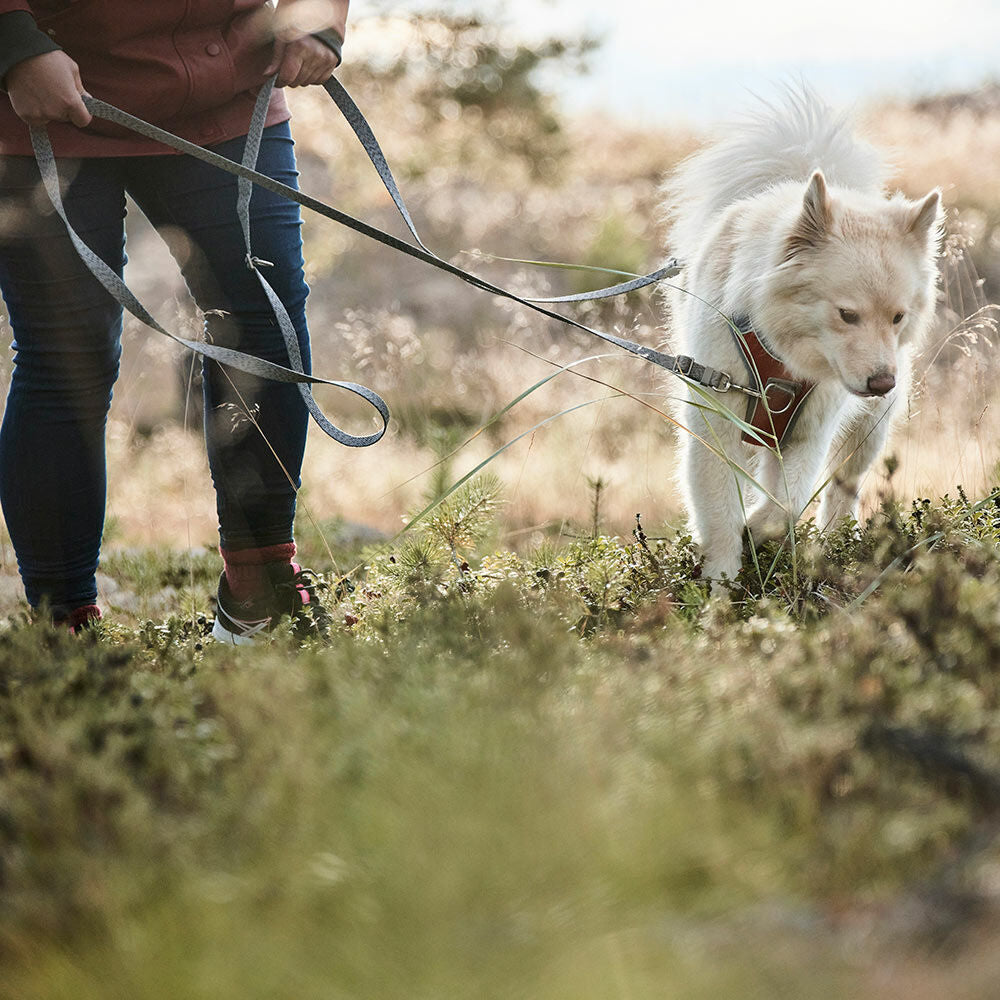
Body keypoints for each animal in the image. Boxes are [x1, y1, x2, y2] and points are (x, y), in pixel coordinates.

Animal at [660, 90, 940, 584]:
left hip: (867, 431)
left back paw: (836, 540)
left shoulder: (811, 430)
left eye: (897, 317)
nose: (882, 382)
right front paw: (719, 585)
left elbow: (786, 504)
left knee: (842, 489)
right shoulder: (715, 422)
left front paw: (756, 529)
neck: (778, 350)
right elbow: (720, 513)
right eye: (847, 314)